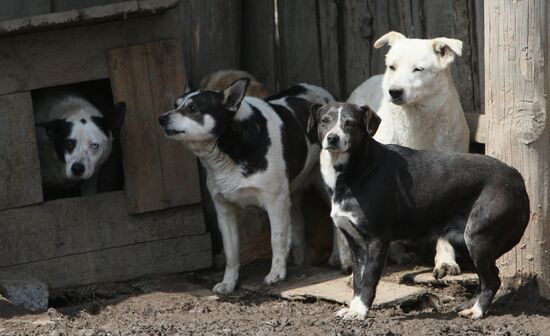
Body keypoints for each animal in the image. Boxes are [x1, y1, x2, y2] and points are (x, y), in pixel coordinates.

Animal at [157, 79, 334, 294]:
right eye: (175, 105)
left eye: (192, 108)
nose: (161, 119)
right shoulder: (225, 212)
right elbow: (232, 253)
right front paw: (229, 283)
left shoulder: (275, 203)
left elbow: (277, 239)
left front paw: (276, 274)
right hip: (292, 194)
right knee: (297, 226)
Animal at [310, 102, 532, 320]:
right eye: (324, 121)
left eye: (350, 123)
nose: (333, 138)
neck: (357, 169)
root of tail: (517, 179)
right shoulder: (356, 243)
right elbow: (358, 279)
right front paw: (354, 307)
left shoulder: (376, 239)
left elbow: (368, 280)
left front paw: (361, 311)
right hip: (470, 240)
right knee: (483, 278)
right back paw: (469, 305)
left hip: (478, 236)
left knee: (492, 280)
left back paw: (477, 311)